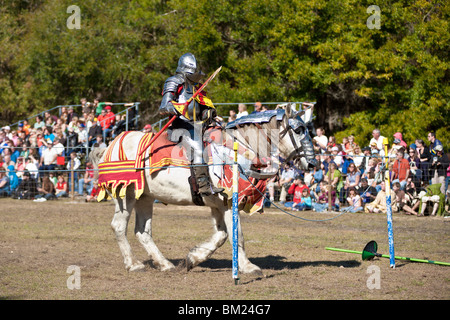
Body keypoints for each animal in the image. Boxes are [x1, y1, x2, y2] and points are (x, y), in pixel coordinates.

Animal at [89, 105, 316, 276]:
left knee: (142, 231)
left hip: (144, 197)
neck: (239, 148)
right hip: (126, 195)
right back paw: (134, 264)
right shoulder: (228, 202)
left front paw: (193, 258)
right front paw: (248, 267)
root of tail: (109, 146)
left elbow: (222, 235)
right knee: (119, 226)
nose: (313, 163)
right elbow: (237, 235)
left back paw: (164, 264)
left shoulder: (217, 205)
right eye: (298, 130)